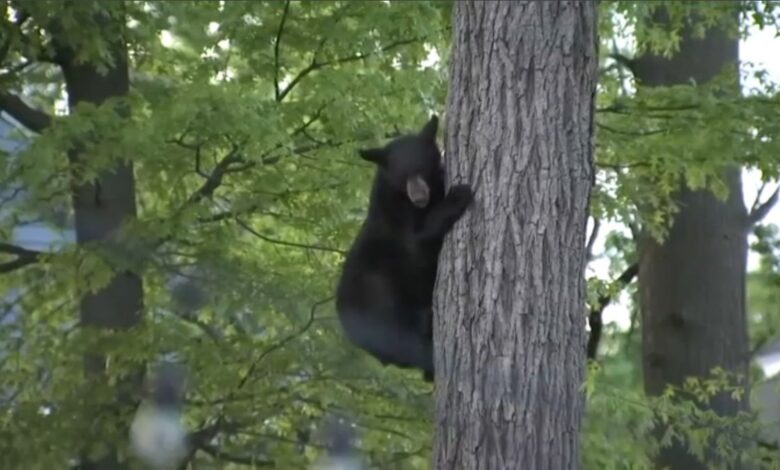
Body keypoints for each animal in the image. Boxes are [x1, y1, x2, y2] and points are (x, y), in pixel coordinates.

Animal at [335, 115, 473, 381]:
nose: (419, 197)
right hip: (380, 301)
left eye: (421, 170)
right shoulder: (394, 217)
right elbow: (417, 241)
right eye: (402, 177)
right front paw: (458, 195)